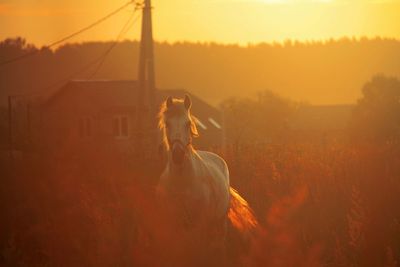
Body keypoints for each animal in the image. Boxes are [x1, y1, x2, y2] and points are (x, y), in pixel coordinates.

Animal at [155, 95, 258, 266]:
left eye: (188, 123)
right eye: (168, 123)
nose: (178, 155)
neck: (182, 181)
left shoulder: (199, 224)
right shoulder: (173, 223)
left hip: (219, 222)